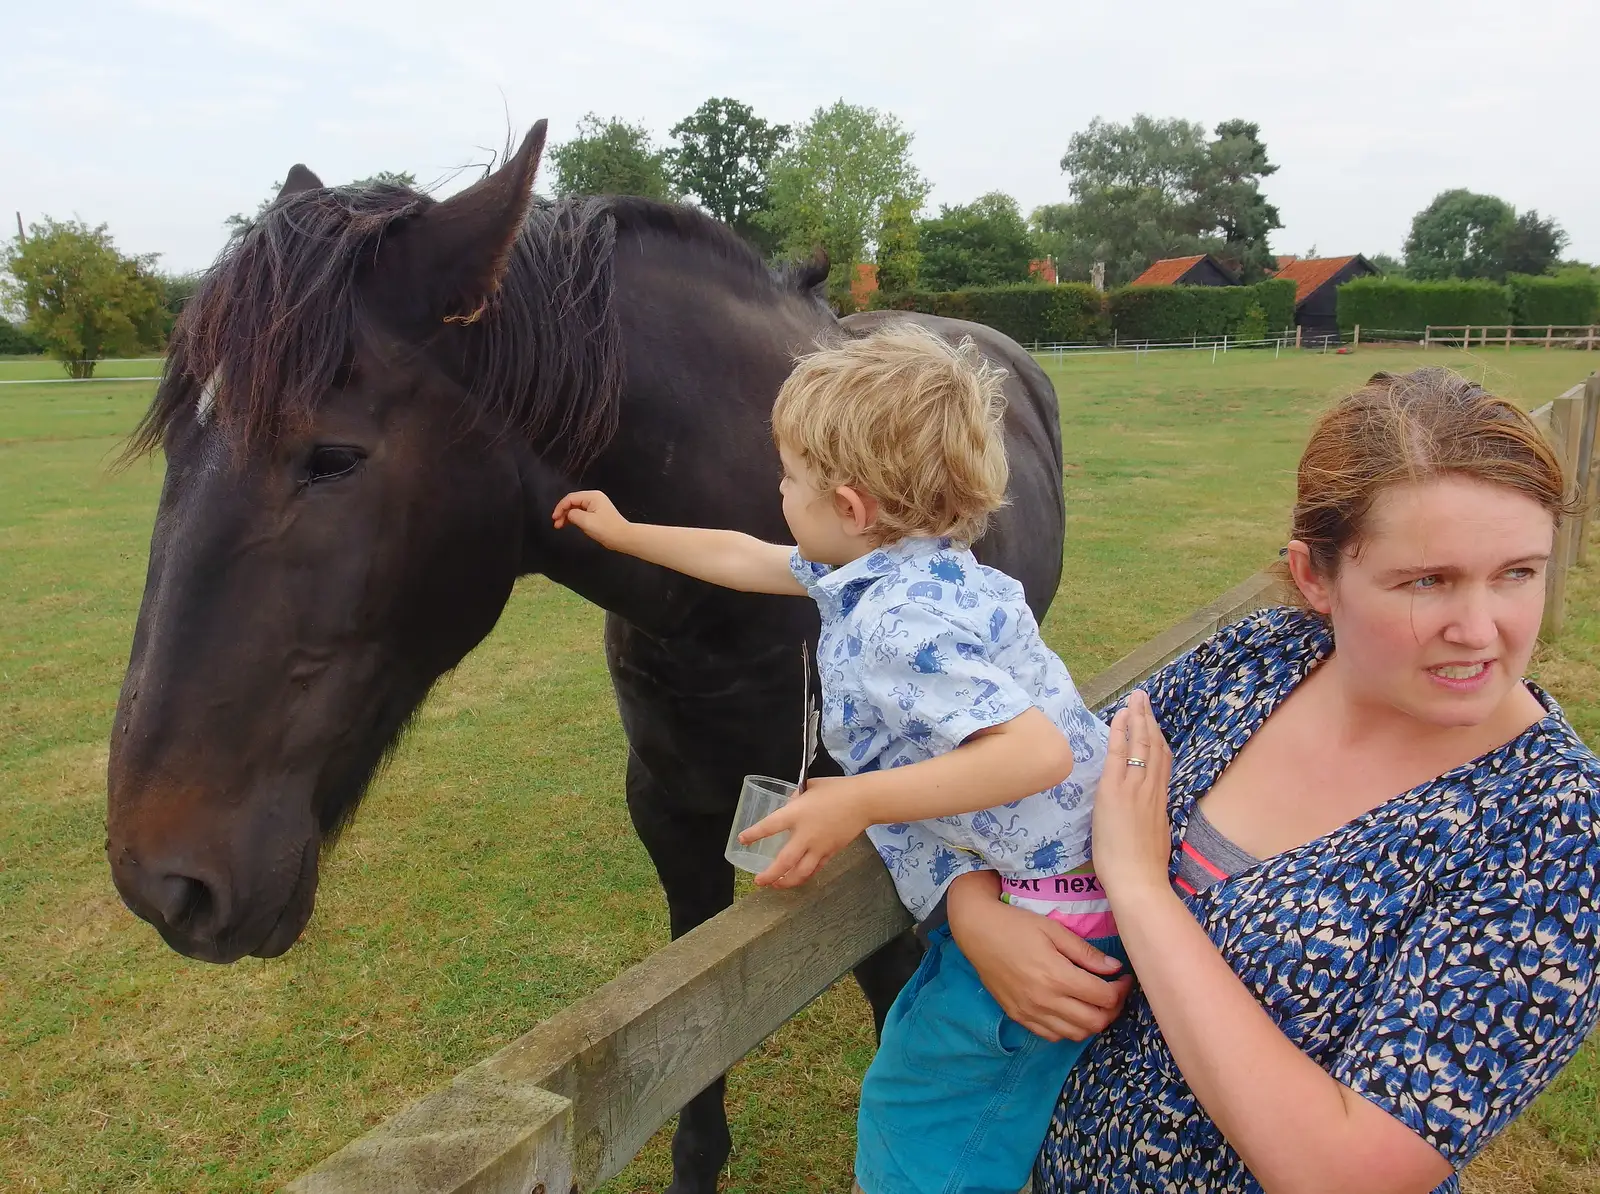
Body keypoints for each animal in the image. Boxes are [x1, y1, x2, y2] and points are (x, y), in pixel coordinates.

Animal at [106, 123, 1068, 1190]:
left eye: (331, 457)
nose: (160, 883)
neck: (736, 613)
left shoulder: (869, 853)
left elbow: (890, 980)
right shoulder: (672, 814)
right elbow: (699, 1008)